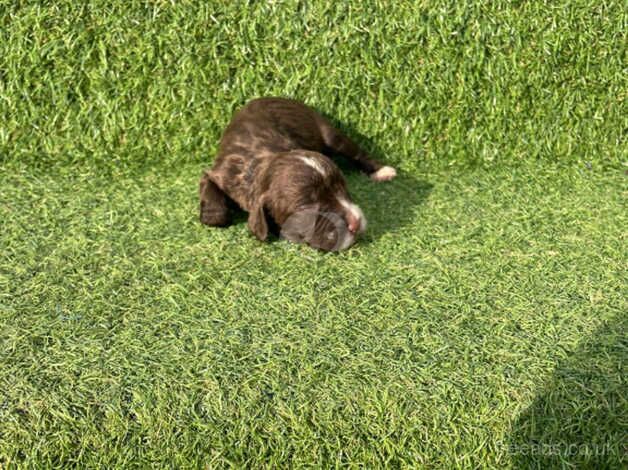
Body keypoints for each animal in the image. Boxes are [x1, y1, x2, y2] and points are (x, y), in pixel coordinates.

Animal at [199, 96, 394, 250]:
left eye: (343, 188)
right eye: (307, 205)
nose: (356, 222)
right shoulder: (223, 171)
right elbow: (212, 200)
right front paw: (213, 214)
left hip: (327, 130)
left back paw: (382, 171)